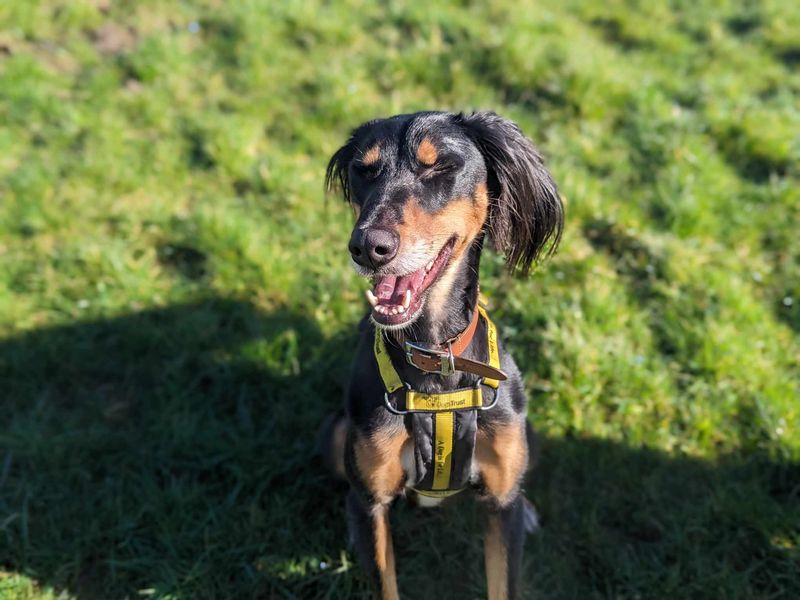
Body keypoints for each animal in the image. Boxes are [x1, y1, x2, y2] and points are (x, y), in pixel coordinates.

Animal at [318, 110, 564, 596]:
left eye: (439, 167)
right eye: (363, 170)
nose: (368, 247)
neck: (434, 358)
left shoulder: (500, 507)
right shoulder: (373, 503)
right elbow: (384, 580)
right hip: (336, 435)